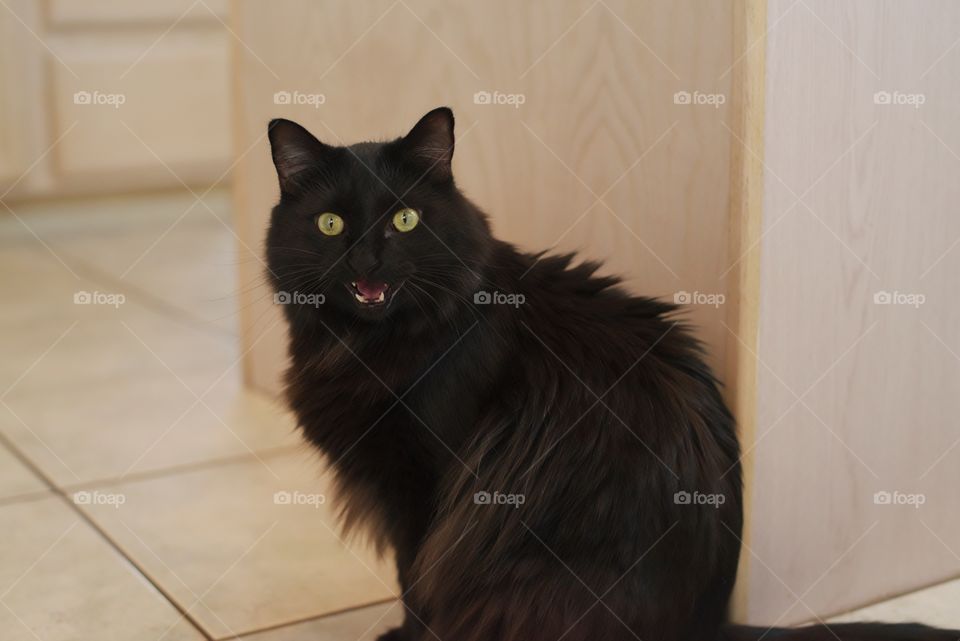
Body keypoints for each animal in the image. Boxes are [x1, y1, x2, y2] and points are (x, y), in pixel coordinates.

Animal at [264, 109, 960, 640]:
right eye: (331, 224)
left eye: (404, 220)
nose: (367, 260)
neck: (364, 345)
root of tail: (706, 626)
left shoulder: (426, 488)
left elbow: (416, 586)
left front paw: (408, 637)